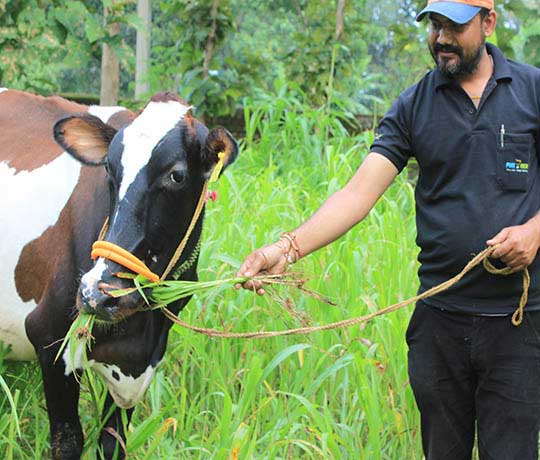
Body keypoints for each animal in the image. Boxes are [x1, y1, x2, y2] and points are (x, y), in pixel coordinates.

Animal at [0, 90, 238, 460]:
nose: (97, 292)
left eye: (177, 175)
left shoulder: (144, 360)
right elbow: (68, 442)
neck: (144, 327)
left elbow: (113, 444)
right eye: (109, 169)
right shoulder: (48, 337)